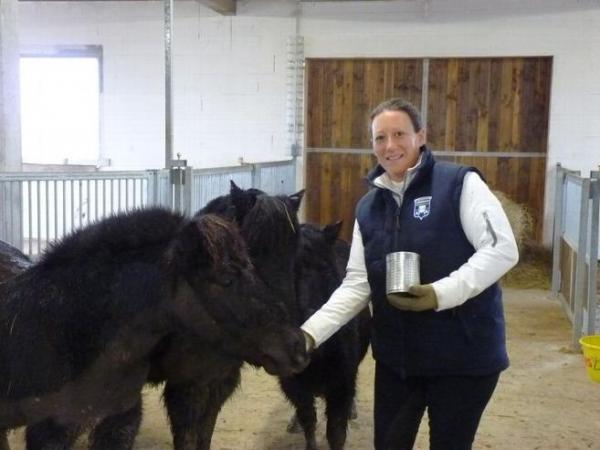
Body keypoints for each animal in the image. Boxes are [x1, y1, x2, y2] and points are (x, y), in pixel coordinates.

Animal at [280, 221, 370, 450]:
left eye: (325, 267)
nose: (310, 313)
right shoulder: (293, 384)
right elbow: (309, 419)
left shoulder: (342, 382)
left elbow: (336, 431)